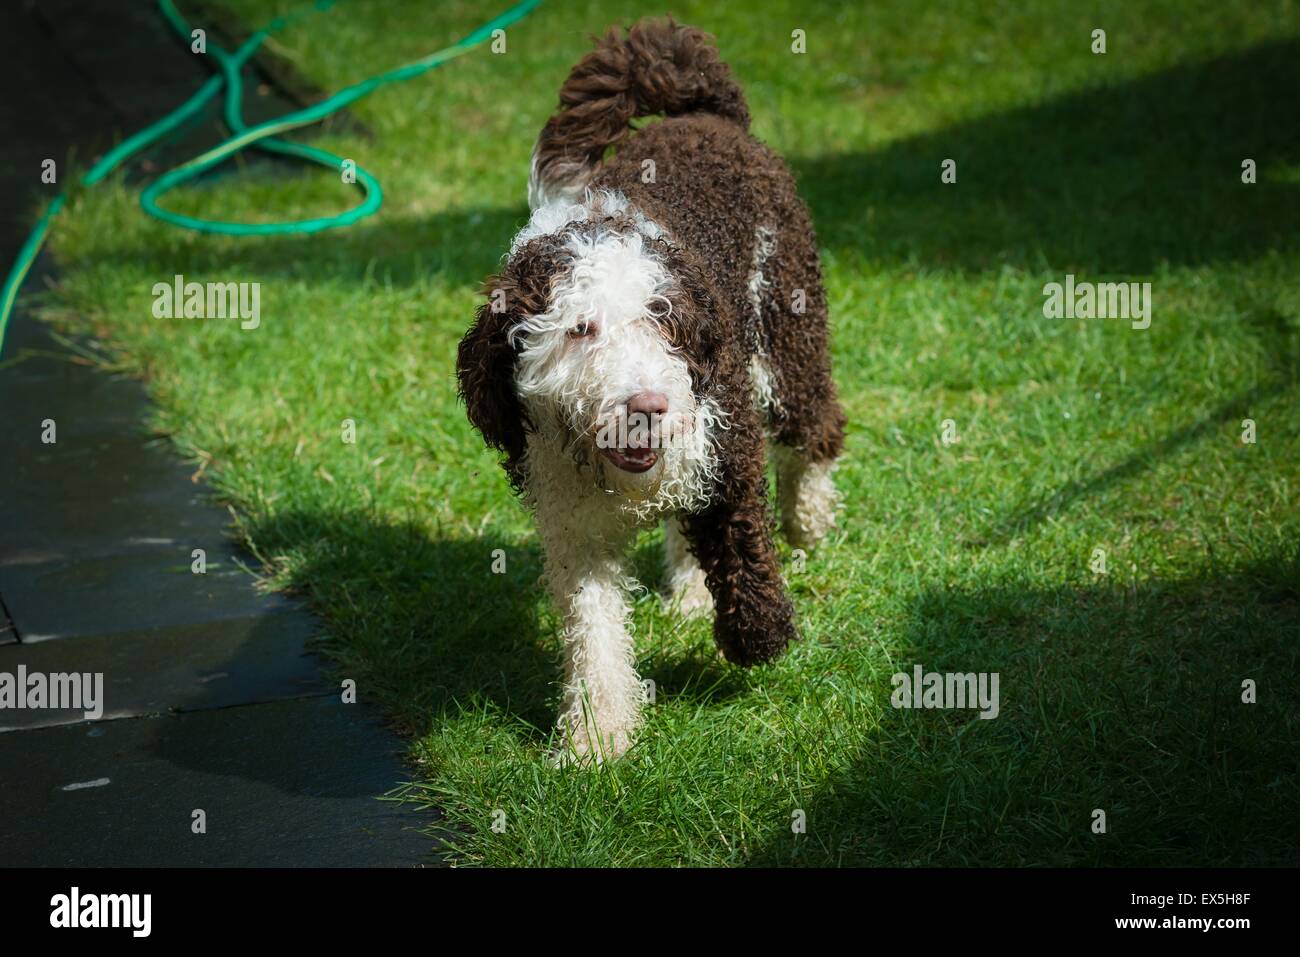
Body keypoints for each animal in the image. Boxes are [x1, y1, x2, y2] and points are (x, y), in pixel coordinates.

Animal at [454, 16, 842, 764]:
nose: (649, 406)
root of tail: (705, 114)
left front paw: (760, 633)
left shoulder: (724, 447)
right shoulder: (572, 526)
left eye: (663, 319)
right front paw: (597, 735)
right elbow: (594, 629)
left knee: (813, 426)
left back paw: (808, 519)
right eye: (580, 328)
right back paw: (690, 591)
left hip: (787, 328)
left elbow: (739, 540)